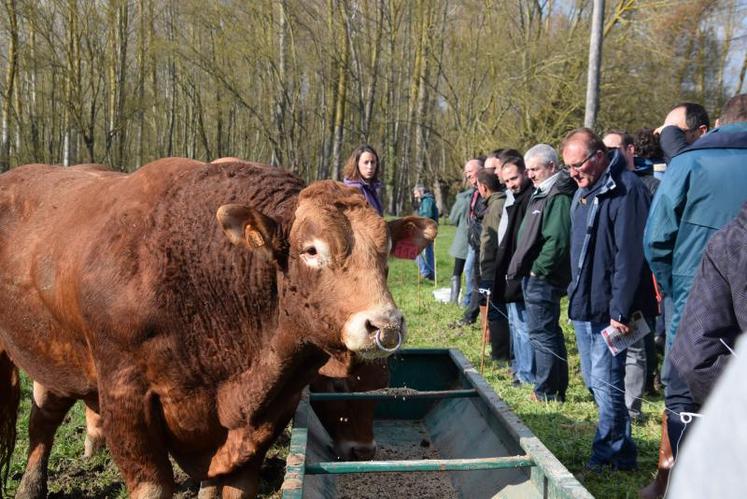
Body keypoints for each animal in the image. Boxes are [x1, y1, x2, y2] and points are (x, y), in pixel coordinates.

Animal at [0, 160, 436, 499]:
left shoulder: (260, 419)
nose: (385, 324)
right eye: (311, 249)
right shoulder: (127, 398)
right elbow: (153, 484)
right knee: (42, 420)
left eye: (384, 252)